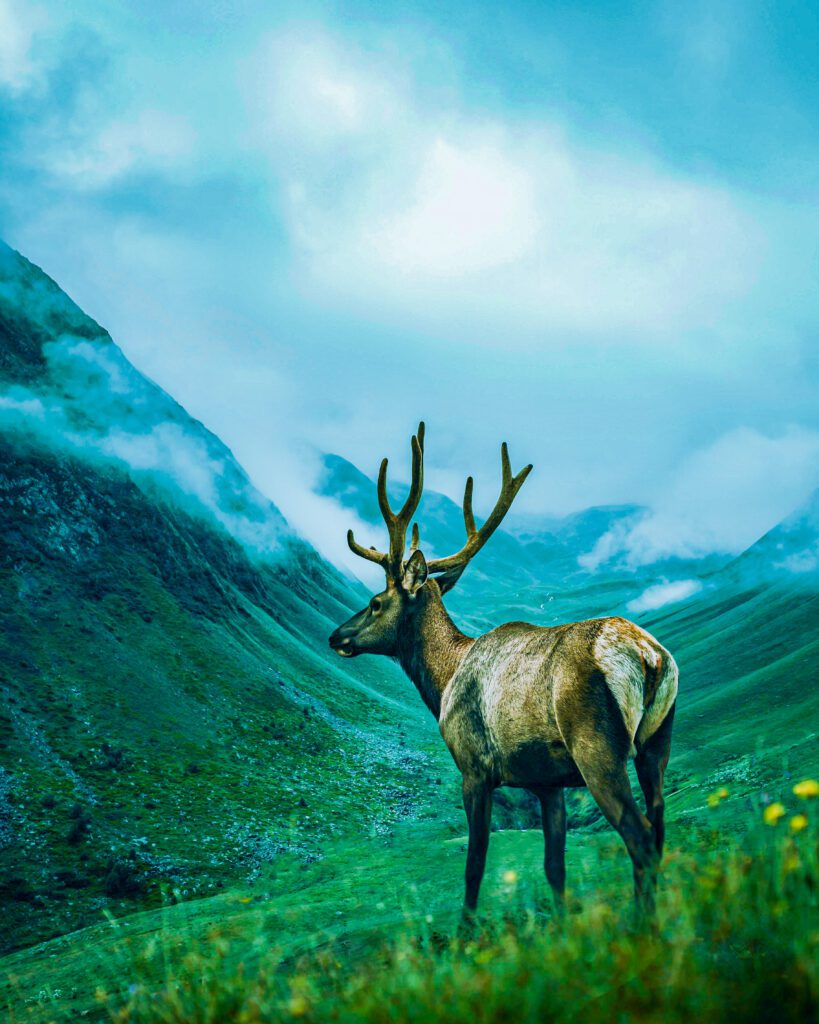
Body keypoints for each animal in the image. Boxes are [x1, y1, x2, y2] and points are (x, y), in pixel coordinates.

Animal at [329, 422, 678, 922]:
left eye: (376, 602)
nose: (336, 636)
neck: (444, 680)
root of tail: (648, 657)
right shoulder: (547, 783)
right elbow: (555, 868)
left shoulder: (474, 768)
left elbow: (475, 865)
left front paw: (466, 929)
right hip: (657, 742)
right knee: (660, 827)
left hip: (597, 746)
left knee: (641, 837)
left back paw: (642, 927)